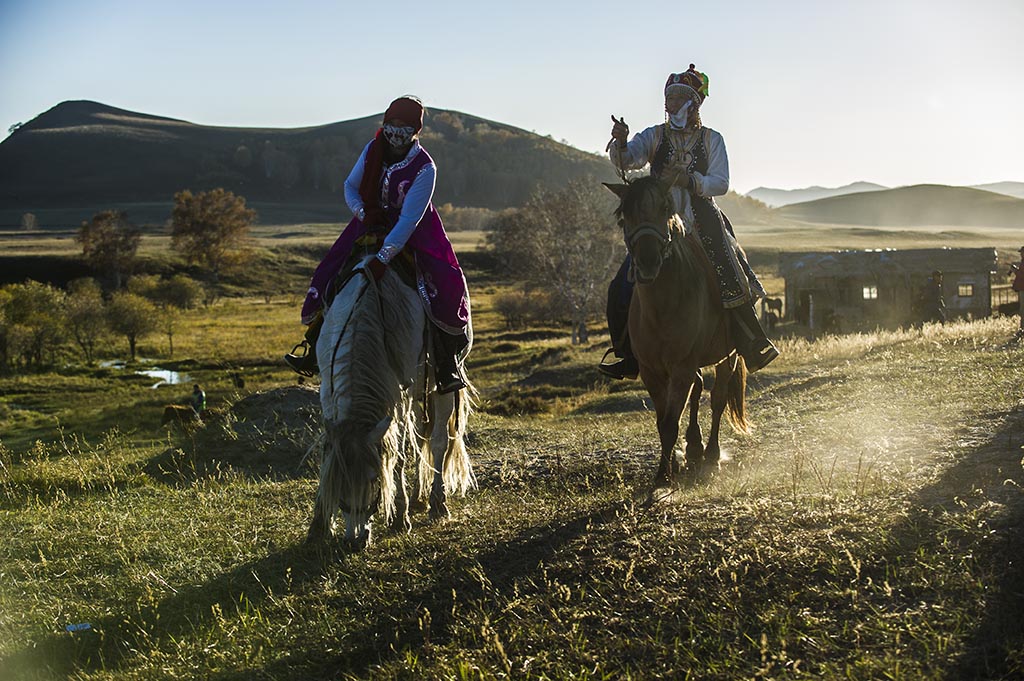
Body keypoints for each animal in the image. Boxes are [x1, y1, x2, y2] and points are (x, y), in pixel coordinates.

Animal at [305, 258, 477, 548]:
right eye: (339, 484)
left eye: (374, 478)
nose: (355, 540)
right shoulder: (328, 394)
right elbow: (328, 453)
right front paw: (319, 524)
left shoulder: (399, 395)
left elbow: (397, 454)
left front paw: (399, 516)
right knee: (421, 437)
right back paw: (419, 496)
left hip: (440, 384)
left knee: (439, 441)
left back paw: (437, 502)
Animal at [602, 175, 749, 483]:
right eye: (623, 217)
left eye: (665, 209)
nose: (648, 263)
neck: (662, 308)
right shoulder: (652, 370)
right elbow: (663, 421)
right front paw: (670, 466)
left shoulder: (681, 367)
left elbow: (671, 421)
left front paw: (663, 477)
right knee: (699, 389)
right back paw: (693, 447)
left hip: (727, 355)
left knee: (717, 398)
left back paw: (712, 454)